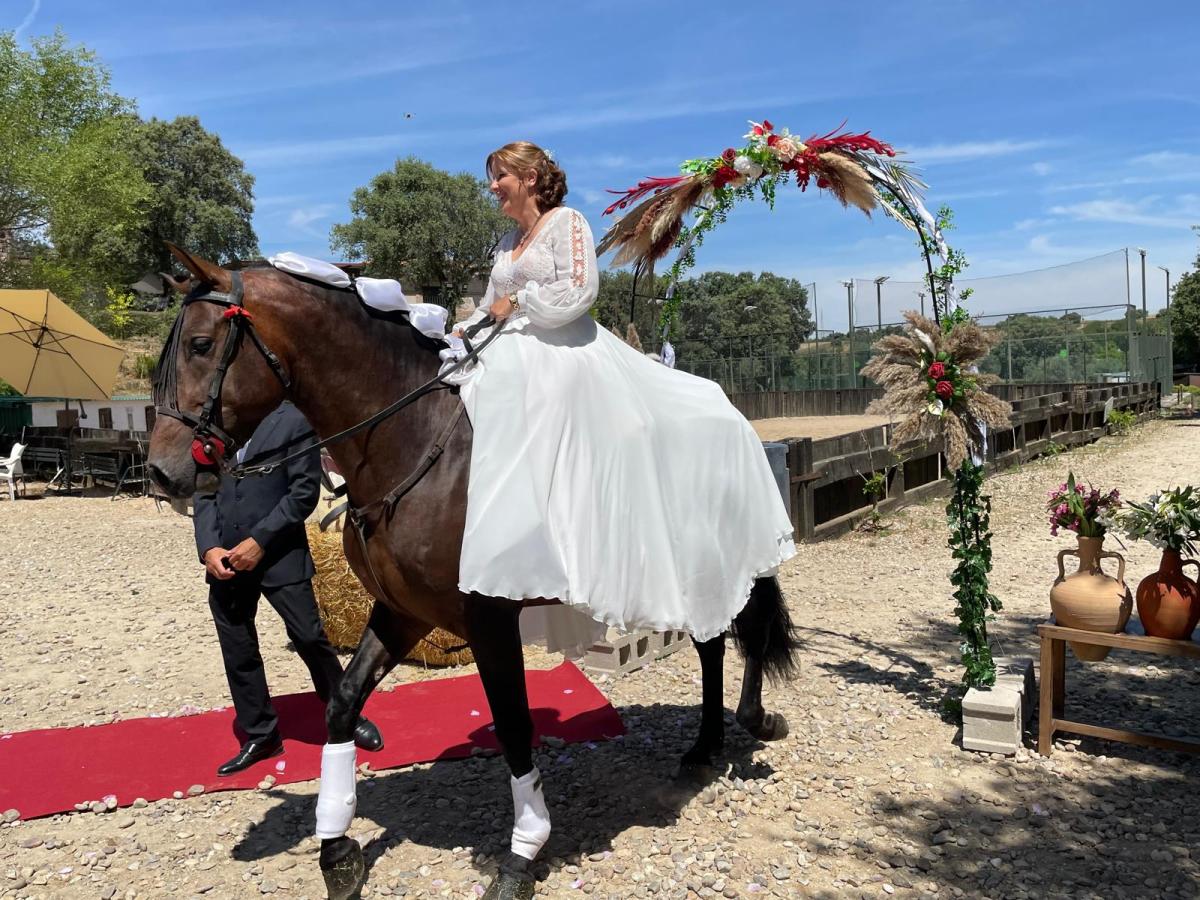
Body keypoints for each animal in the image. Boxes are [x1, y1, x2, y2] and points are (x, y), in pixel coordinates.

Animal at [146, 245, 799, 900]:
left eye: (201, 345)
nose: (161, 473)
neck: (413, 443)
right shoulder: (402, 613)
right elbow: (342, 705)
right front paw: (336, 850)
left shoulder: (487, 618)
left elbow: (512, 725)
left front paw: (522, 854)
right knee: (712, 643)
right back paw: (707, 745)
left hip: (718, 558)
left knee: (740, 636)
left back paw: (748, 723)